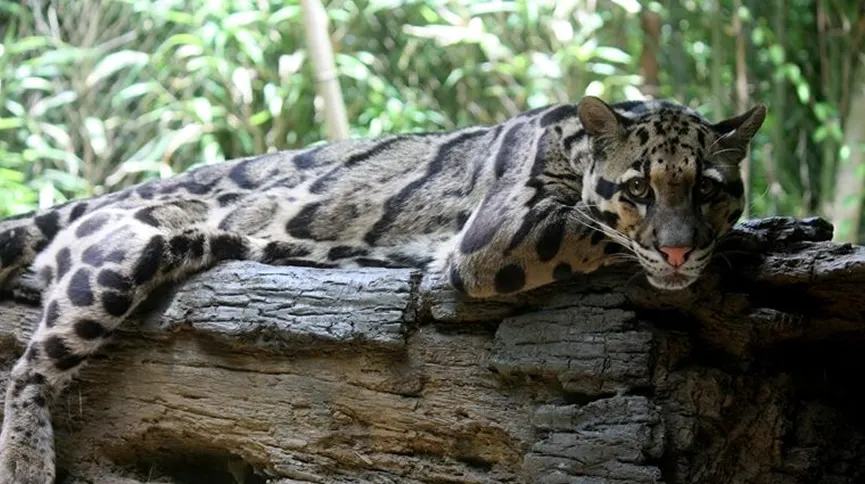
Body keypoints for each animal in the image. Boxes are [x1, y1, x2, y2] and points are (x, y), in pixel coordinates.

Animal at [0, 95, 765, 483]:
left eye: (707, 188)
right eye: (636, 189)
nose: (678, 246)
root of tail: (119, 192)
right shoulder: (497, 235)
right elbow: (598, 231)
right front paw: (709, 256)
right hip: (128, 248)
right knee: (27, 371)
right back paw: (26, 461)